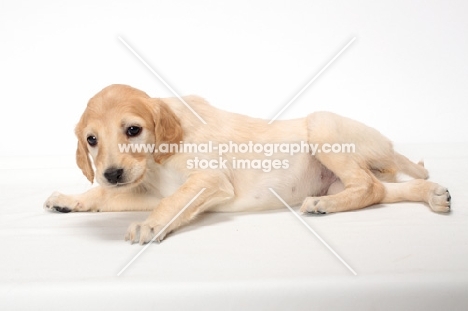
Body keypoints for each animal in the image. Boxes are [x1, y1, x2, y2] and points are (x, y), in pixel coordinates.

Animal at [43, 84, 450, 245]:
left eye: (133, 129)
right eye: (91, 140)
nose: (112, 173)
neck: (156, 163)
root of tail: (389, 146)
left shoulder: (209, 181)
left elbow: (173, 202)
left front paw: (150, 225)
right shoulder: (143, 190)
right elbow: (104, 196)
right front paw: (70, 199)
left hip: (322, 125)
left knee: (369, 186)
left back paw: (322, 204)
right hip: (344, 174)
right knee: (382, 190)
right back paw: (432, 194)